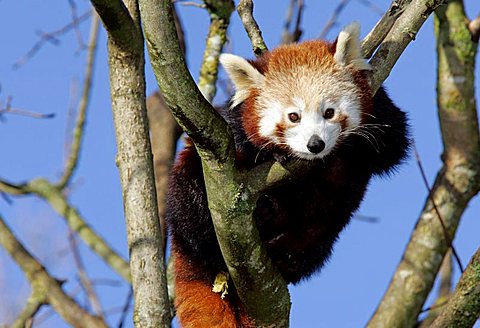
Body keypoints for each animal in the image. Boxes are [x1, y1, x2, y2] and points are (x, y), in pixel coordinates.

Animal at [165, 23, 408, 328]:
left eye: (329, 112)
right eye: (293, 116)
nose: (315, 144)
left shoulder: (382, 107)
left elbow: (393, 147)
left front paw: (352, 143)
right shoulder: (230, 126)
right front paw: (273, 153)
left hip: (321, 233)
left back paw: (284, 253)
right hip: (187, 197)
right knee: (194, 203)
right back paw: (259, 212)